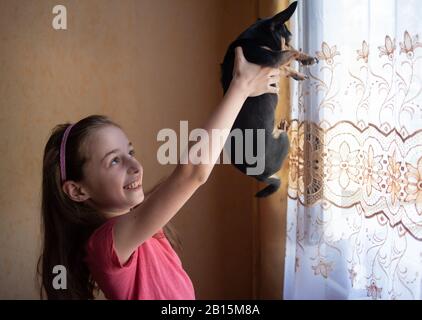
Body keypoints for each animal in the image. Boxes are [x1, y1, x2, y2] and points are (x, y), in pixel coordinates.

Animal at [221, 1, 316, 198]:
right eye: (288, 39)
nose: (289, 41)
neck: (255, 39)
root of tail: (258, 176)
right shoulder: (273, 58)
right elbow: (290, 54)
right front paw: (306, 58)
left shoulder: (275, 64)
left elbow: (286, 66)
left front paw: (297, 73)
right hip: (283, 141)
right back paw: (285, 127)